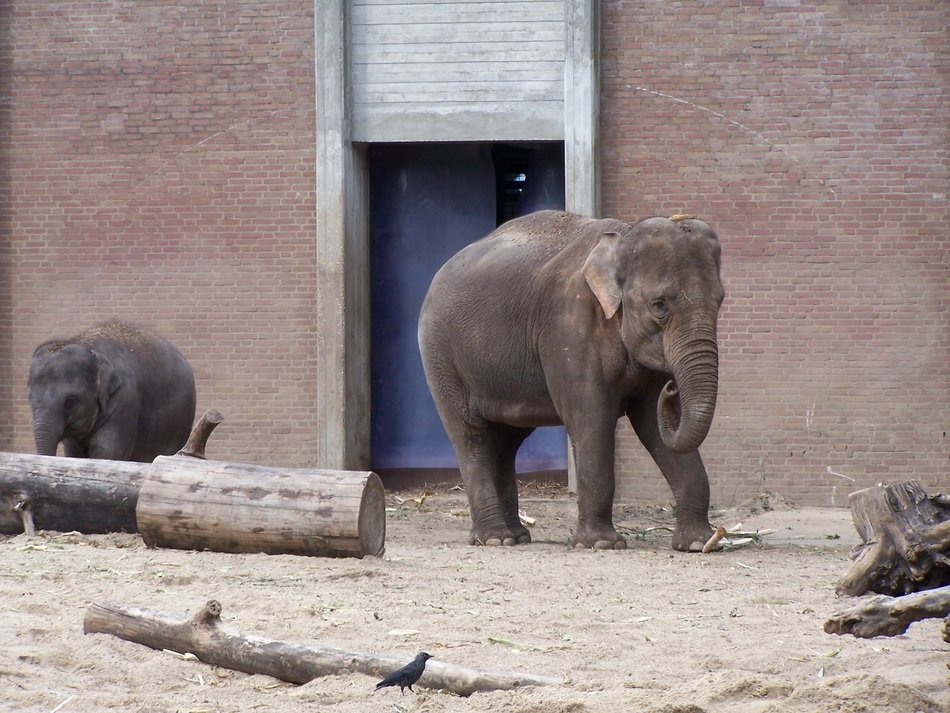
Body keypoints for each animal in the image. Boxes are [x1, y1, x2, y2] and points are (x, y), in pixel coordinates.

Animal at [27, 321, 197, 462]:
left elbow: (107, 451)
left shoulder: (125, 399)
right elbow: (73, 453)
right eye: (30, 399)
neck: (86, 344)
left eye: (70, 402)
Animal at [418, 210, 725, 551]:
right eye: (659, 305)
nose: (672, 387)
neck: (623, 236)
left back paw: (517, 537)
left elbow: (652, 422)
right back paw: (496, 539)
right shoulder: (568, 327)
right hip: (441, 356)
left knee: (506, 442)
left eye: (720, 301)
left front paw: (698, 544)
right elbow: (592, 417)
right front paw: (601, 545)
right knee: (472, 436)